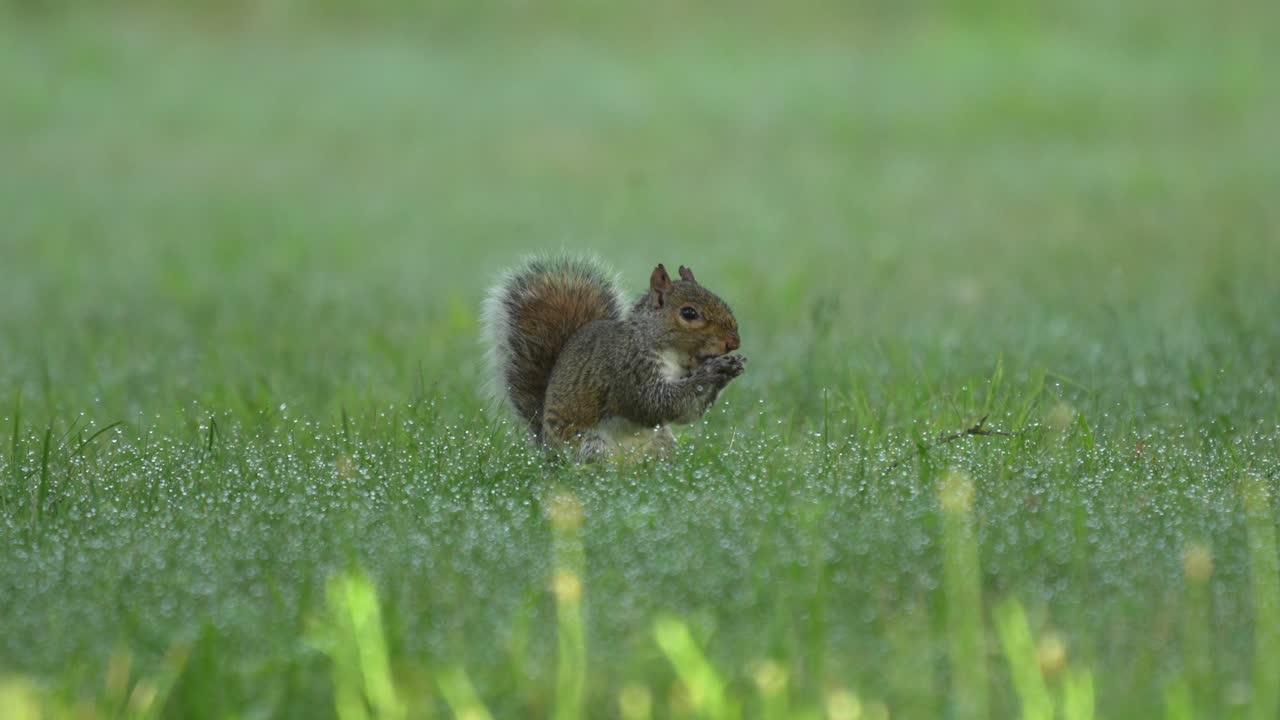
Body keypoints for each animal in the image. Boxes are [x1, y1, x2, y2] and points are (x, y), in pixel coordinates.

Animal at [482, 255, 746, 461]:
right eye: (689, 313)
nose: (733, 342)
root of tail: (548, 453)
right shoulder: (628, 369)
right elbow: (654, 403)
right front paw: (713, 372)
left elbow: (687, 411)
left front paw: (730, 368)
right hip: (590, 445)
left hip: (660, 442)